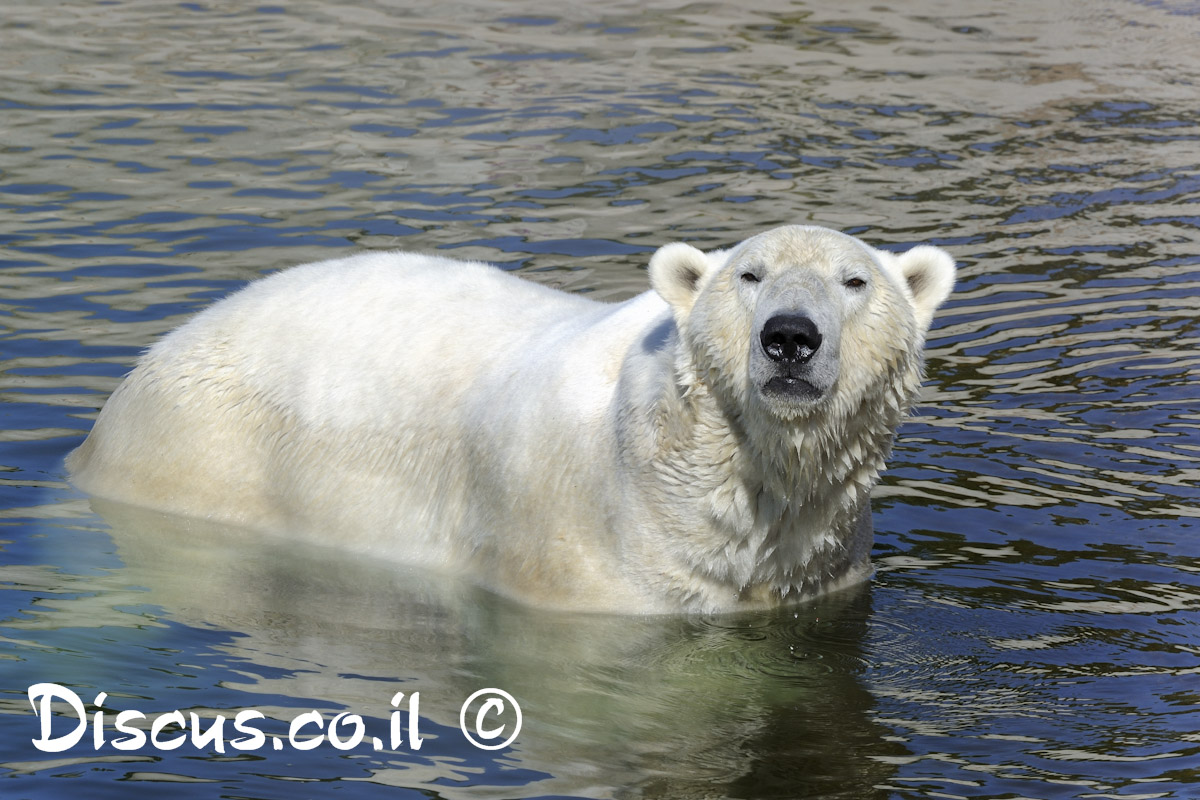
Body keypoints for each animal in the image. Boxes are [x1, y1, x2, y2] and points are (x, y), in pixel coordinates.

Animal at [70, 225, 955, 614]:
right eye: (750, 274)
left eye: (854, 281)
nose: (789, 338)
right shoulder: (581, 556)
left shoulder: (826, 565)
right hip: (204, 453)